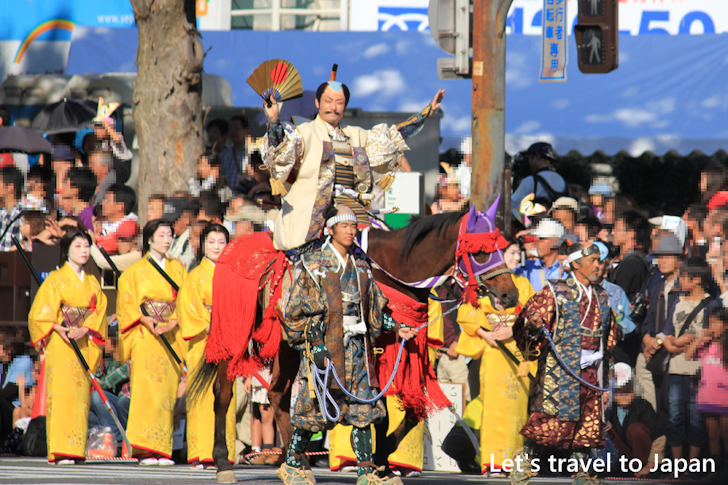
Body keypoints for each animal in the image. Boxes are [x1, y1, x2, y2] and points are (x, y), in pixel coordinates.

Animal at [188, 199, 516, 482]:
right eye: (482, 253)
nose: (511, 295)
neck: (397, 273)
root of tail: (232, 247)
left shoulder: (402, 352)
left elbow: (410, 413)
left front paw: (382, 462)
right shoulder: (376, 352)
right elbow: (382, 413)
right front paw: (381, 464)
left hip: (287, 345)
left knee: (278, 395)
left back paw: (298, 464)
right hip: (235, 330)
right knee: (223, 394)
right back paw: (224, 463)